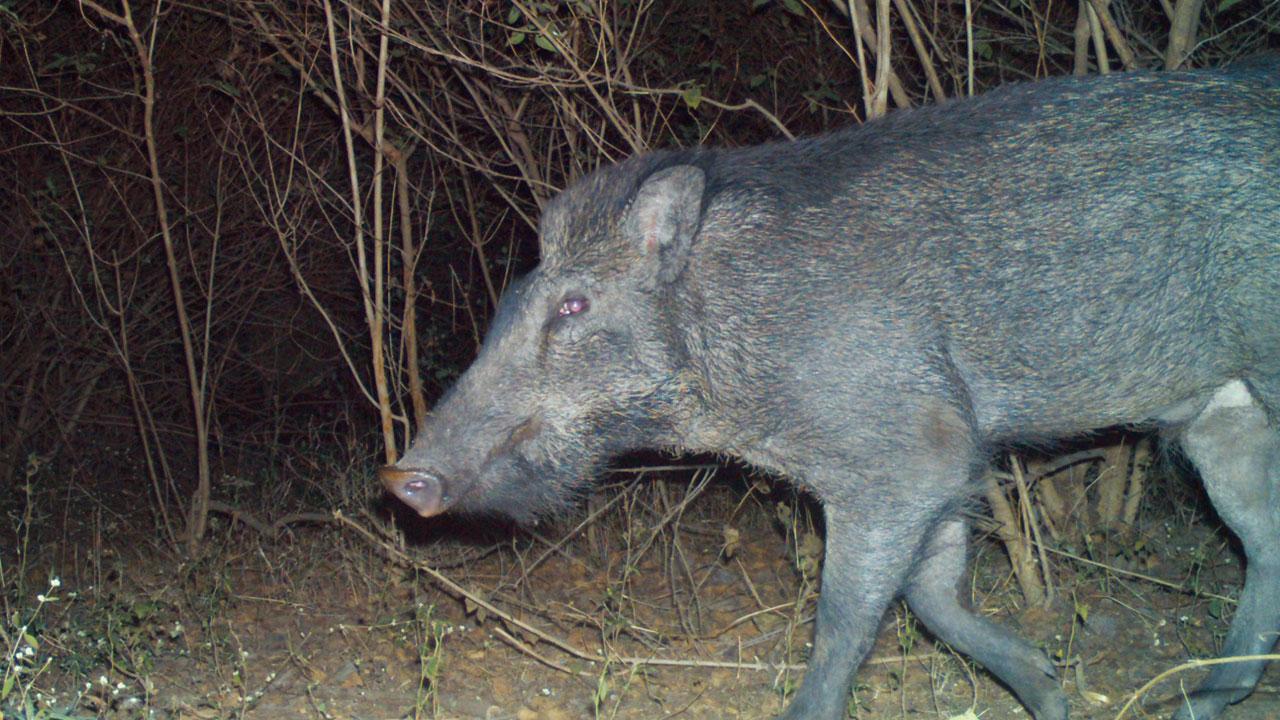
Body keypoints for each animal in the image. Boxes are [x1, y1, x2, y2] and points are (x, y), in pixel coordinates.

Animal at [381, 58, 1280, 720]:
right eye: (508, 303)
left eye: (573, 305)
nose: (400, 479)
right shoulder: (947, 467)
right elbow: (929, 593)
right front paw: (1049, 686)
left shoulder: (908, 455)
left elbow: (847, 616)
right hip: (1220, 417)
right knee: (1264, 537)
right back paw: (1193, 702)